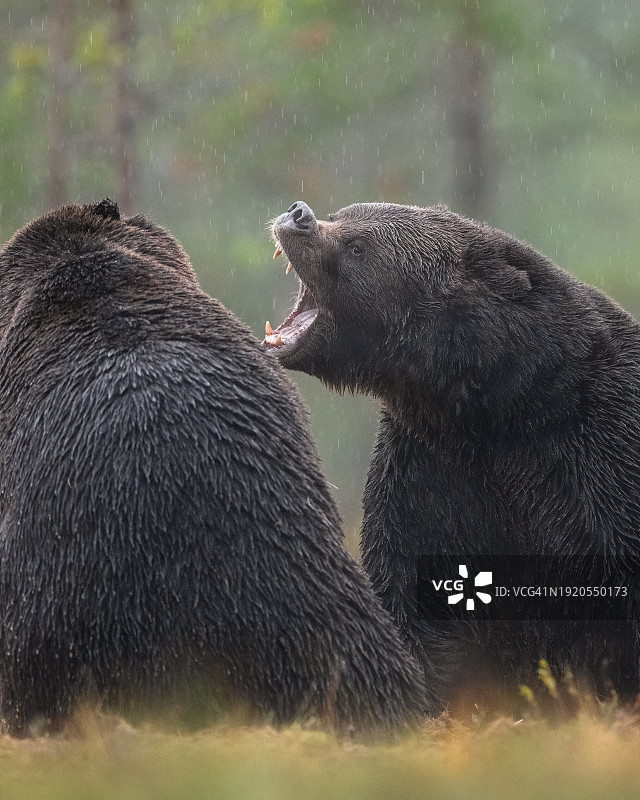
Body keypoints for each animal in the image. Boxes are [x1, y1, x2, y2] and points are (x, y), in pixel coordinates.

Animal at [265, 199, 640, 712]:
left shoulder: (593, 462)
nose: (298, 214)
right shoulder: (431, 475)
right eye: (343, 215)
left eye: (358, 245)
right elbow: (417, 598)